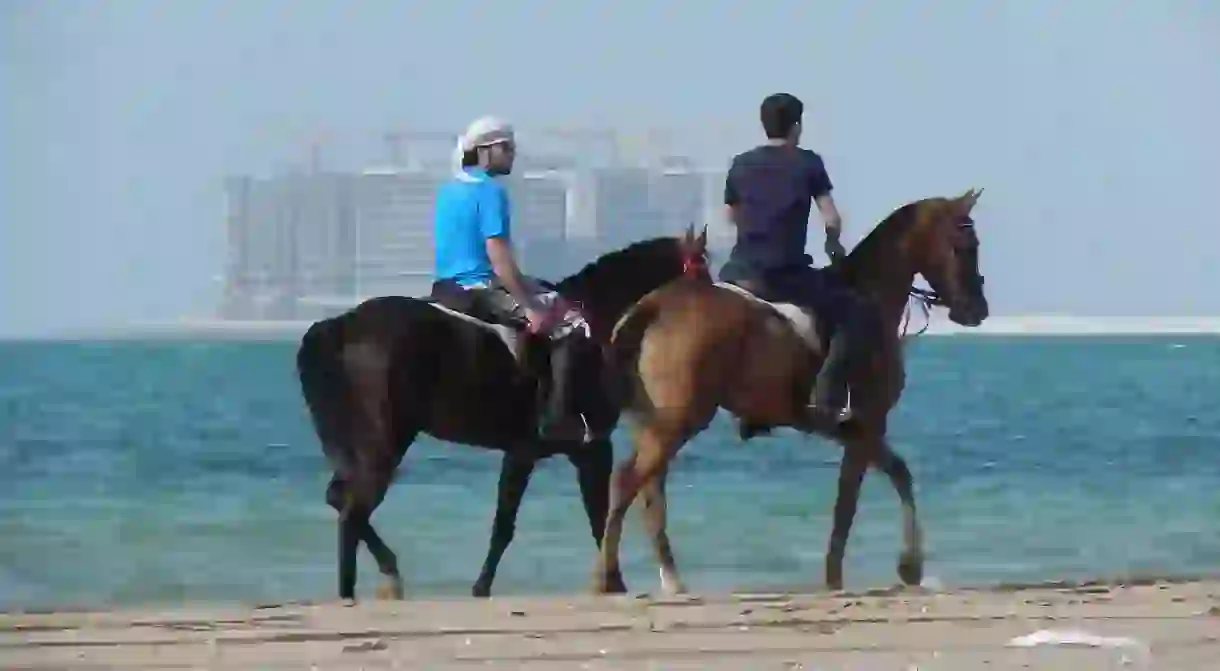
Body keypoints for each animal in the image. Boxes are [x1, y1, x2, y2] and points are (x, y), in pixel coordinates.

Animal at [296, 228, 712, 605]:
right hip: (385, 442)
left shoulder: (544, 451)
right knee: (353, 506)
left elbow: (534, 519)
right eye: (704, 270)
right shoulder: (582, 448)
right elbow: (578, 517)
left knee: (342, 499)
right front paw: (611, 583)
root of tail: (340, 324)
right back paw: (371, 583)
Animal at [592, 187, 990, 595]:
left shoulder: (850, 430)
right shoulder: (867, 424)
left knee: (648, 489)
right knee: (629, 481)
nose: (977, 309)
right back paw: (610, 577)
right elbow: (867, 492)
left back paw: (668, 578)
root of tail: (655, 305)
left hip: (654, 422)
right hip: (677, 422)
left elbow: (882, 480)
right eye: (966, 245)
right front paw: (898, 566)